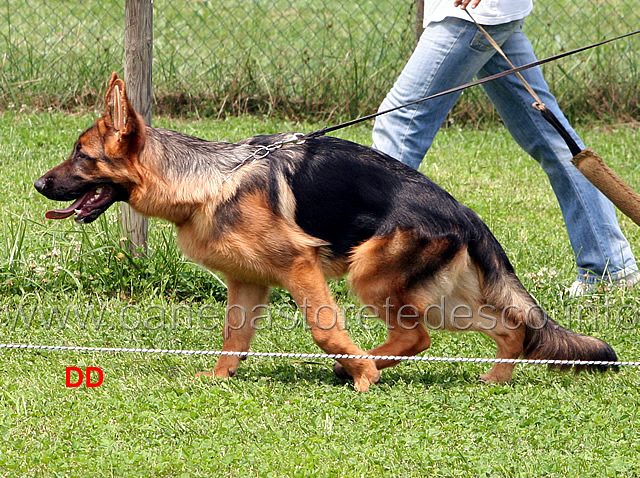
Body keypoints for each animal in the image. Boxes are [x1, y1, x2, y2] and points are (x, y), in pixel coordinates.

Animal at [33, 73, 616, 390]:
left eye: (81, 156)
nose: (38, 185)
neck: (206, 179)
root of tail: (464, 212)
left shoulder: (299, 267)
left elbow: (323, 329)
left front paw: (361, 374)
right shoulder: (248, 283)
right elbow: (234, 338)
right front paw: (220, 378)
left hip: (372, 278)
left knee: (418, 336)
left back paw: (365, 367)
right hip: (442, 299)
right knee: (511, 328)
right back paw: (492, 380)